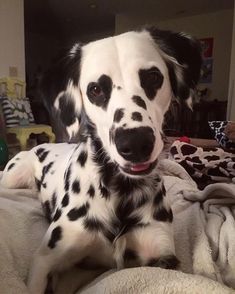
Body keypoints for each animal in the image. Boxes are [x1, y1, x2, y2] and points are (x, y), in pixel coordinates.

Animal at [0, 26, 201, 292]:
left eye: (153, 78)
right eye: (95, 89)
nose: (135, 143)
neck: (118, 191)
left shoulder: (162, 256)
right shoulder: (46, 259)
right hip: (12, 177)